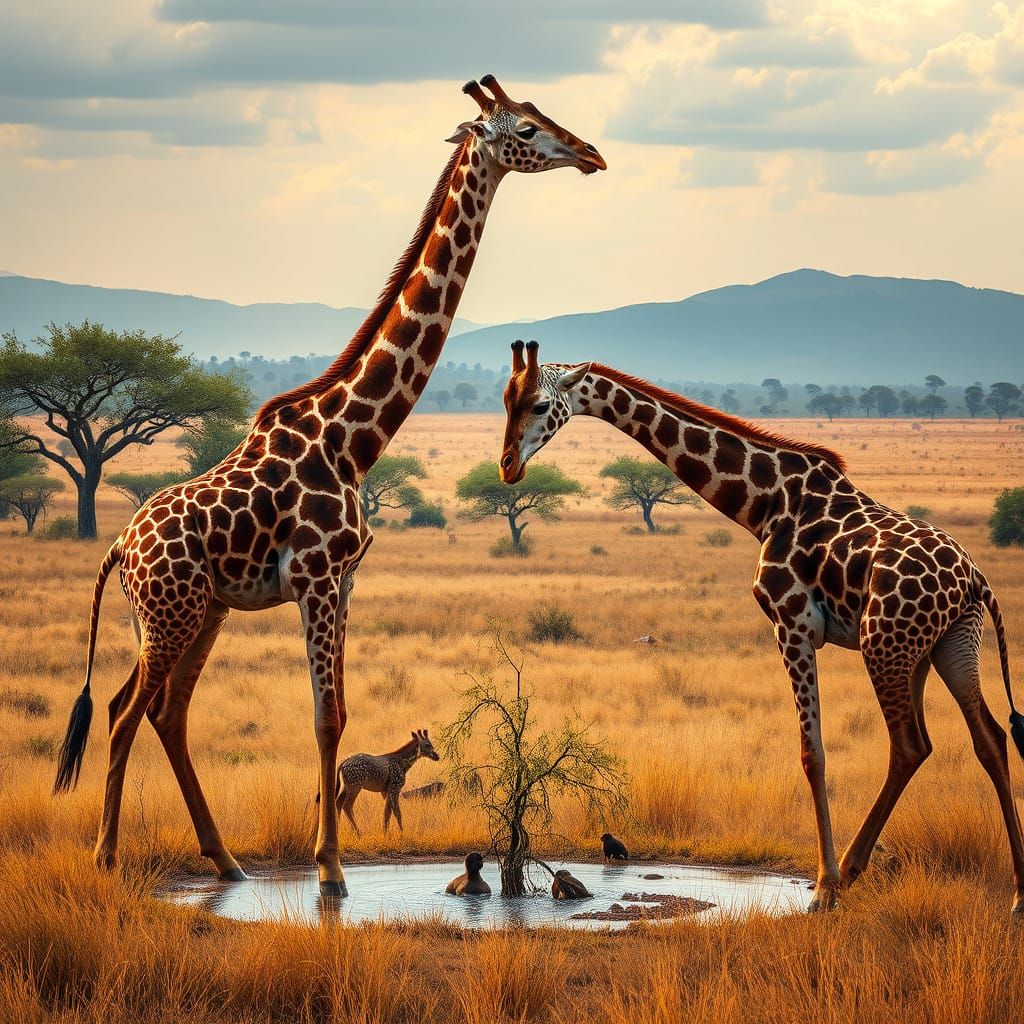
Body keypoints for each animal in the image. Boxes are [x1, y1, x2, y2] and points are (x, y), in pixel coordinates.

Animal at [51, 80, 605, 900]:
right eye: (528, 129)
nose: (591, 153)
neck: (352, 440)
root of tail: (120, 544)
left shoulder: (344, 580)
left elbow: (337, 714)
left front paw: (327, 860)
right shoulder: (315, 576)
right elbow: (322, 718)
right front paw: (332, 872)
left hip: (198, 610)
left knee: (163, 711)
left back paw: (226, 859)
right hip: (170, 611)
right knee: (126, 715)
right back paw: (106, 859)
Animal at [499, 340, 1024, 913]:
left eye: (541, 406)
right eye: (505, 400)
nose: (507, 467)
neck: (764, 502)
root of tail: (975, 580)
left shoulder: (791, 622)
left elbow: (812, 753)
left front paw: (823, 887)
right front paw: (829, 881)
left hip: (886, 643)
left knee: (911, 743)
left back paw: (848, 873)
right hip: (947, 644)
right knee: (988, 739)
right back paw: (1017, 895)